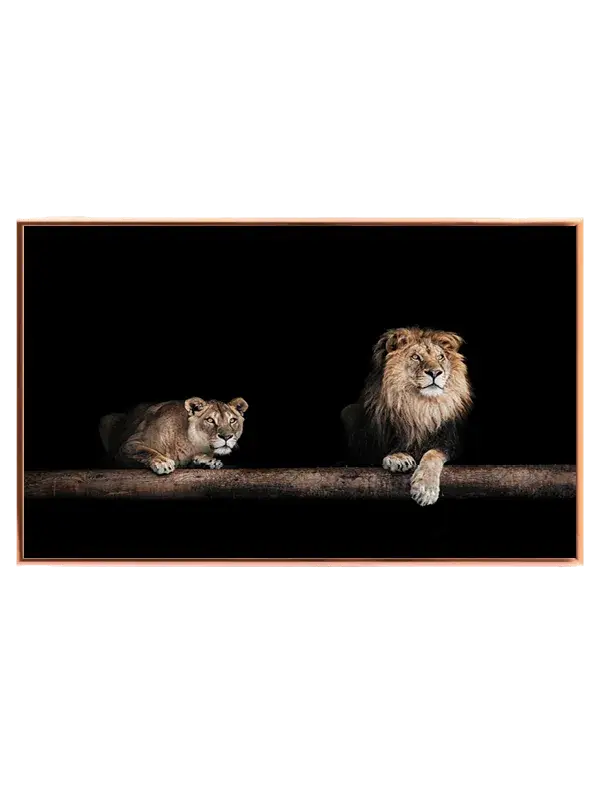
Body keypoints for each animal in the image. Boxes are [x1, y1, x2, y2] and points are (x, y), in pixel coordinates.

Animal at [99, 397, 248, 475]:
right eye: (210, 420)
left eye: (232, 420)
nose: (227, 437)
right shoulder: (128, 445)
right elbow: (145, 451)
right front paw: (162, 462)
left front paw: (207, 461)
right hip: (106, 420)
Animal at [341, 328, 472, 506]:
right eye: (415, 357)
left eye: (440, 357)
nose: (435, 372)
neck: (418, 406)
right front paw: (398, 458)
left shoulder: (449, 442)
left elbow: (433, 453)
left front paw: (426, 489)